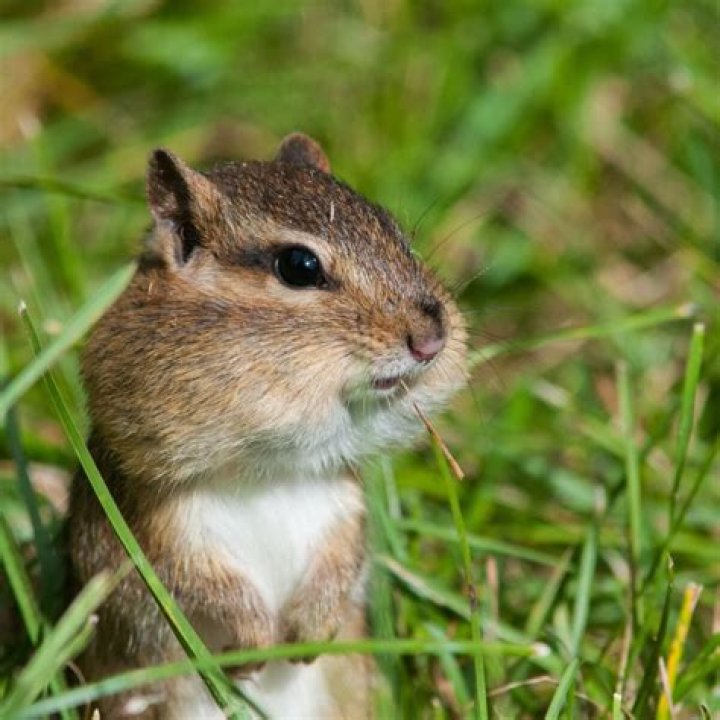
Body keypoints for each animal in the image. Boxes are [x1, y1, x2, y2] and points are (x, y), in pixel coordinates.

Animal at [67, 133, 467, 719]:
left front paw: (309, 629)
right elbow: (203, 583)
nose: (432, 338)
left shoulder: (340, 501)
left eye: (394, 231)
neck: (272, 471)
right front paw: (255, 644)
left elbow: (343, 556)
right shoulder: (166, 521)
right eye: (299, 266)